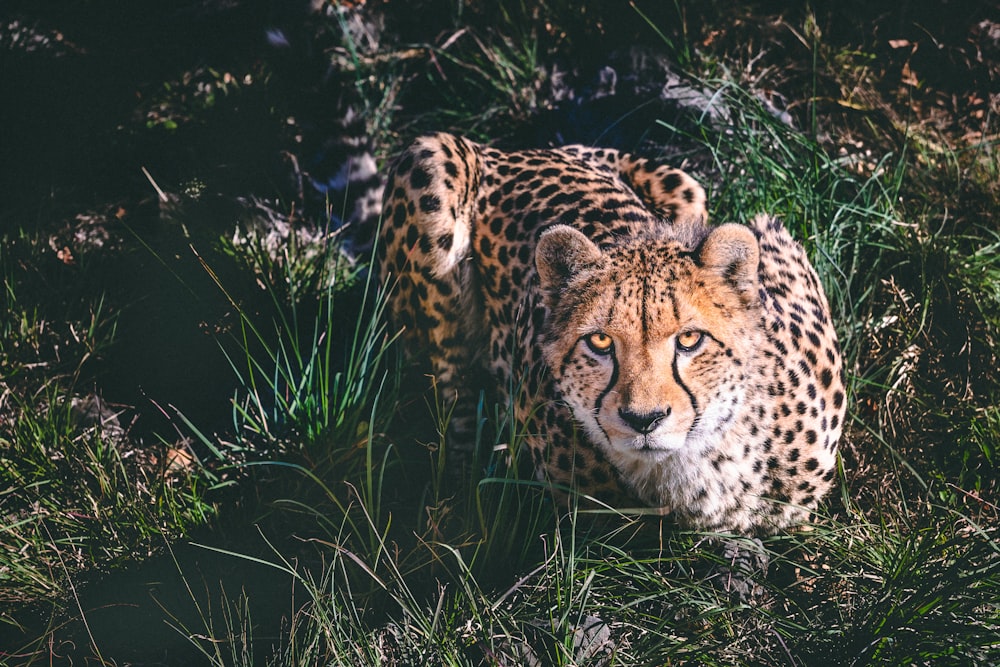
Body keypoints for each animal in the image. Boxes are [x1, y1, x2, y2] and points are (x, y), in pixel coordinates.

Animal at [378, 133, 848, 536]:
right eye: (600, 342)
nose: (645, 419)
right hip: (430, 161)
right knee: (449, 386)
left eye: (689, 340)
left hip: (688, 187)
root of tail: (513, 150)